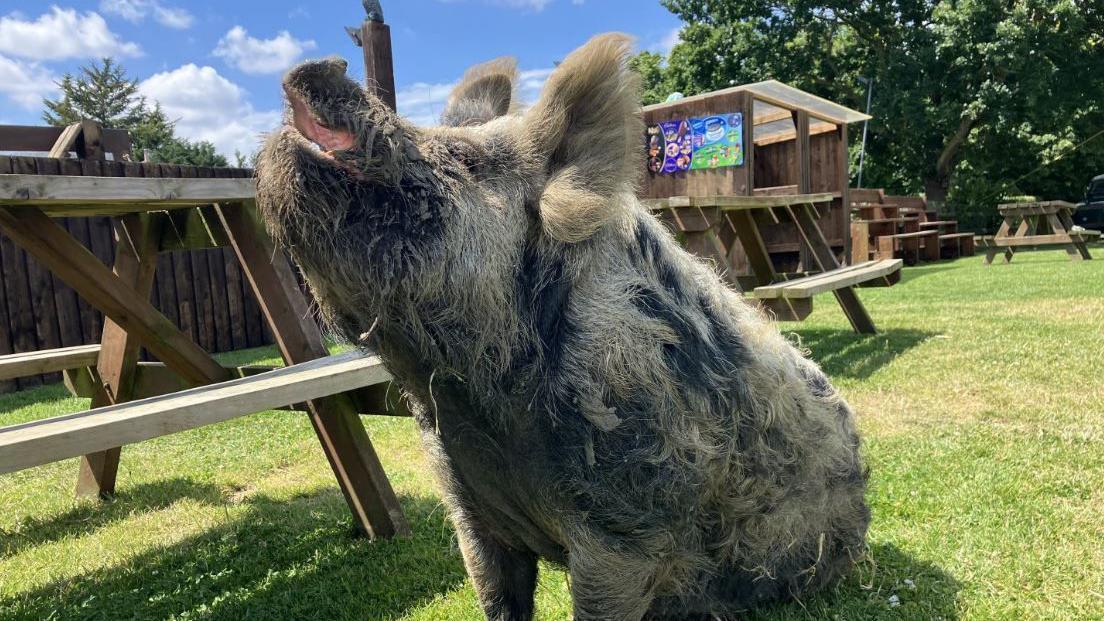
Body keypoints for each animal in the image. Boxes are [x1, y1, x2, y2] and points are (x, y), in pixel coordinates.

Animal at [256, 33, 869, 618]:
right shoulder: (467, 512)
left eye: (466, 158)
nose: (325, 64)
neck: (474, 401)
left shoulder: (625, 527)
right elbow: (496, 599)